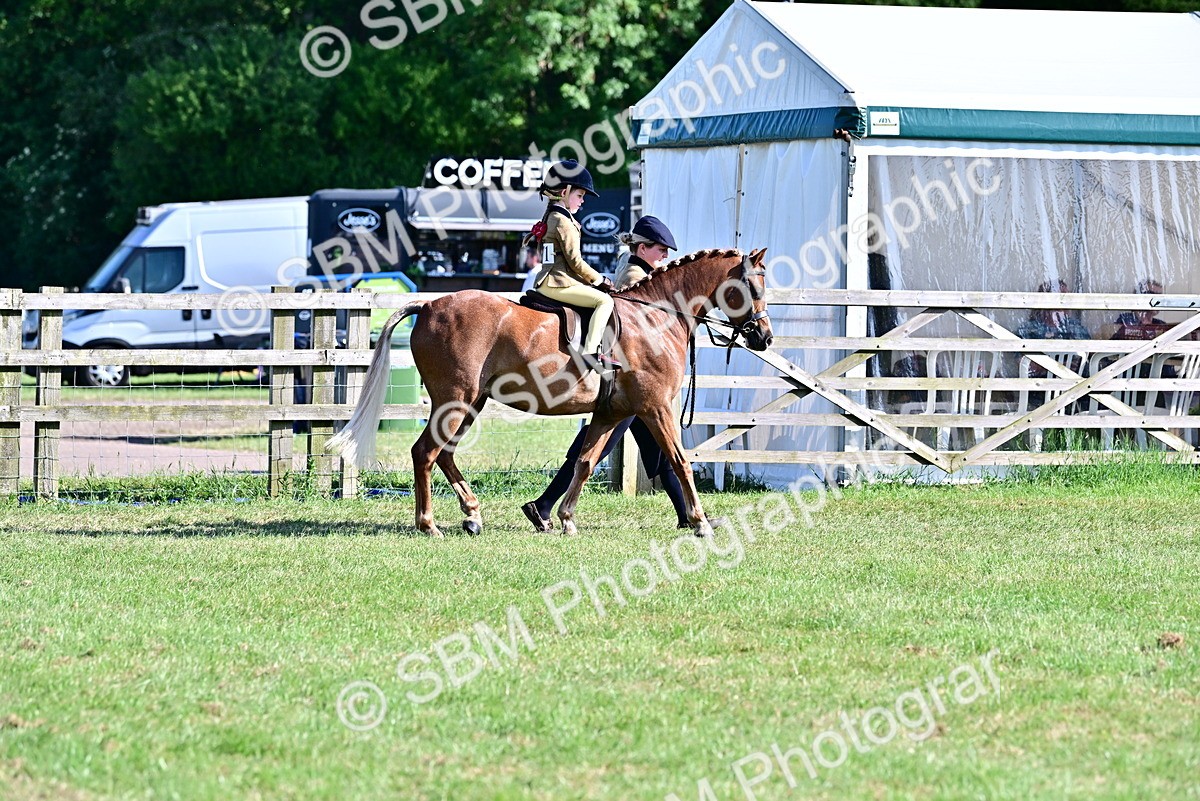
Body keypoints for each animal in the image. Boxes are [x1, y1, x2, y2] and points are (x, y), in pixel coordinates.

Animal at [327, 248, 773, 537]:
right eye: (754, 286)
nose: (764, 337)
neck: (653, 318)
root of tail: (429, 305)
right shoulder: (656, 408)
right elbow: (679, 463)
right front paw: (699, 521)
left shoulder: (610, 414)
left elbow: (585, 462)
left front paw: (565, 519)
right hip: (454, 401)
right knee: (425, 452)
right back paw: (429, 524)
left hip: (470, 403)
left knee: (444, 454)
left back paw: (472, 515)